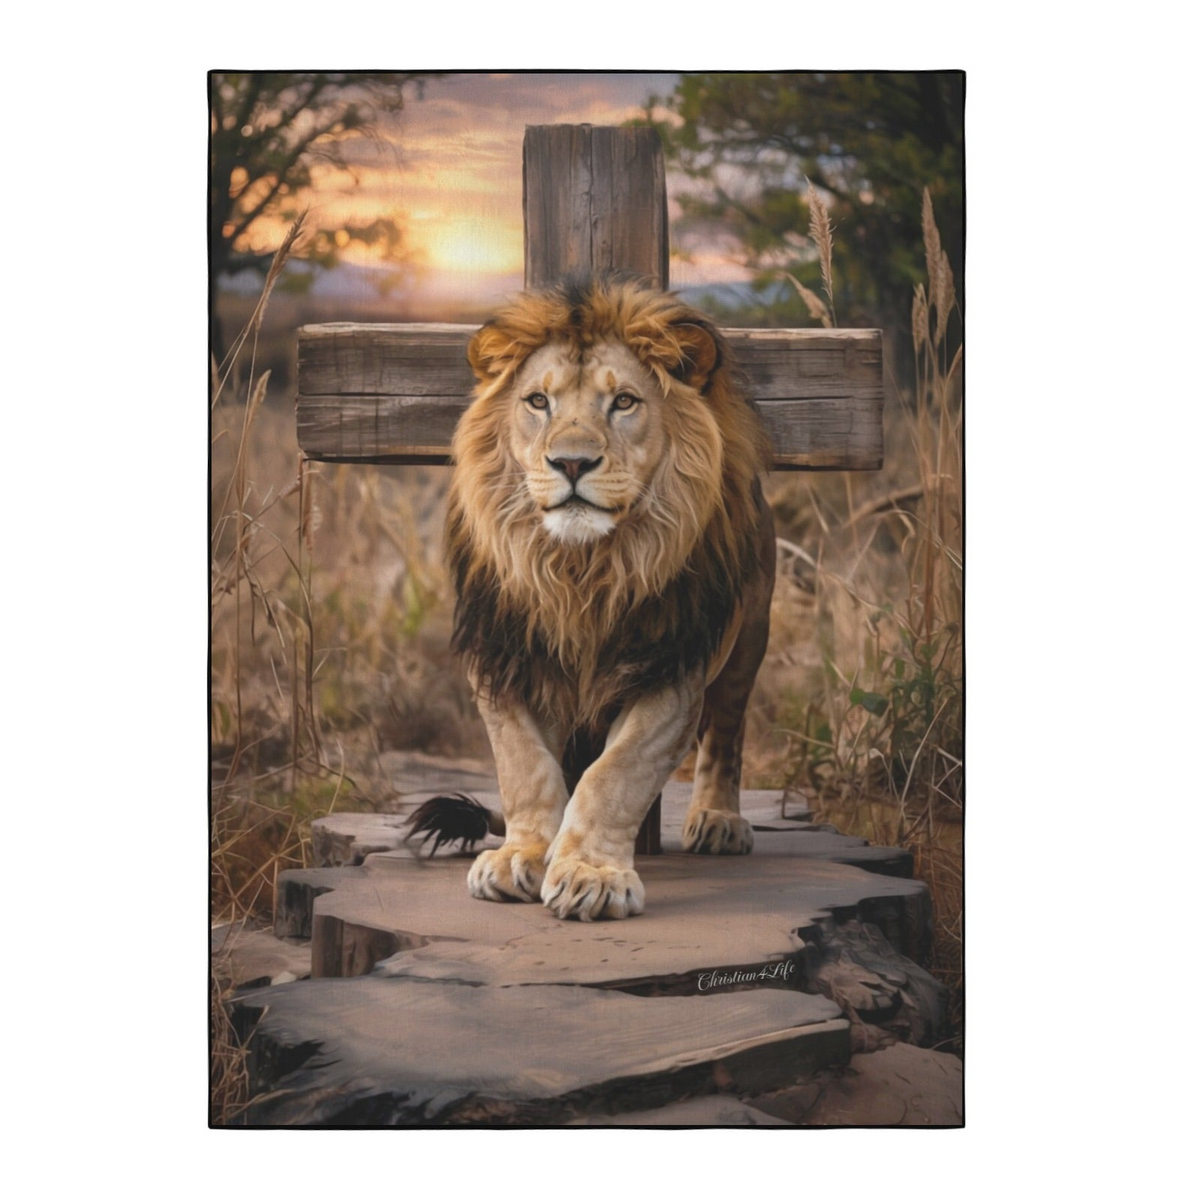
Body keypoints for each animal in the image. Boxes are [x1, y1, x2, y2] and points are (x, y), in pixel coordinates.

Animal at [444, 275, 776, 920]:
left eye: (623, 402)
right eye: (537, 402)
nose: (571, 462)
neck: (582, 571)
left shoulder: (671, 670)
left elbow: (615, 775)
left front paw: (590, 874)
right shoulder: (501, 658)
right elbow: (526, 767)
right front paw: (522, 854)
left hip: (749, 637)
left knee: (727, 731)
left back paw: (719, 820)